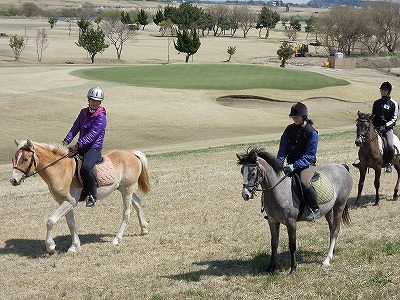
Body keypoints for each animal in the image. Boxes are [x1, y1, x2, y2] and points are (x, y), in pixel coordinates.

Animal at [9, 139, 151, 254]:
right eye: (15, 157)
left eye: (25, 159)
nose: (13, 180)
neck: (61, 170)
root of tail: (131, 153)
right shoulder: (65, 202)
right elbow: (71, 224)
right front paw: (74, 246)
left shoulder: (69, 202)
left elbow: (50, 221)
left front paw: (50, 247)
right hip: (124, 189)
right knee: (137, 202)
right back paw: (144, 229)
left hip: (127, 189)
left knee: (126, 212)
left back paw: (117, 239)